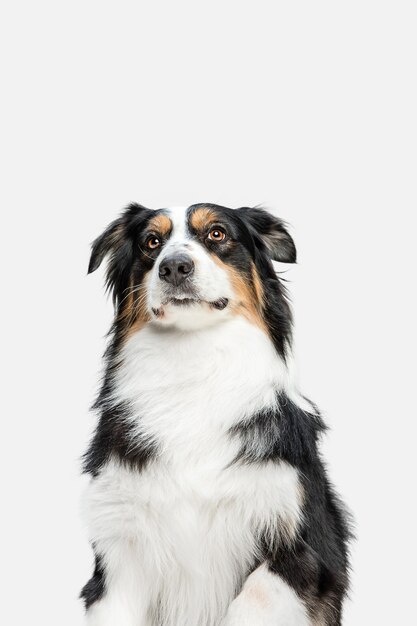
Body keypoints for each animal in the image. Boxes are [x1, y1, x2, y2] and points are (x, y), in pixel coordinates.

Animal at [79, 202, 350, 620]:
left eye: (217, 233)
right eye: (151, 242)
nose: (174, 266)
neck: (193, 362)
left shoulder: (301, 549)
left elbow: (252, 601)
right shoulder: (119, 555)